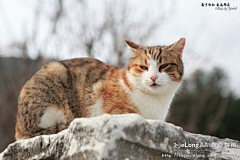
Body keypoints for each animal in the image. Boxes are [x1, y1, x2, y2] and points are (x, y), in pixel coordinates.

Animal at [15, 37, 186, 139]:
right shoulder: (106, 100)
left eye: (164, 66)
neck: (155, 101)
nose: (153, 77)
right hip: (55, 73)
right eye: (143, 67)